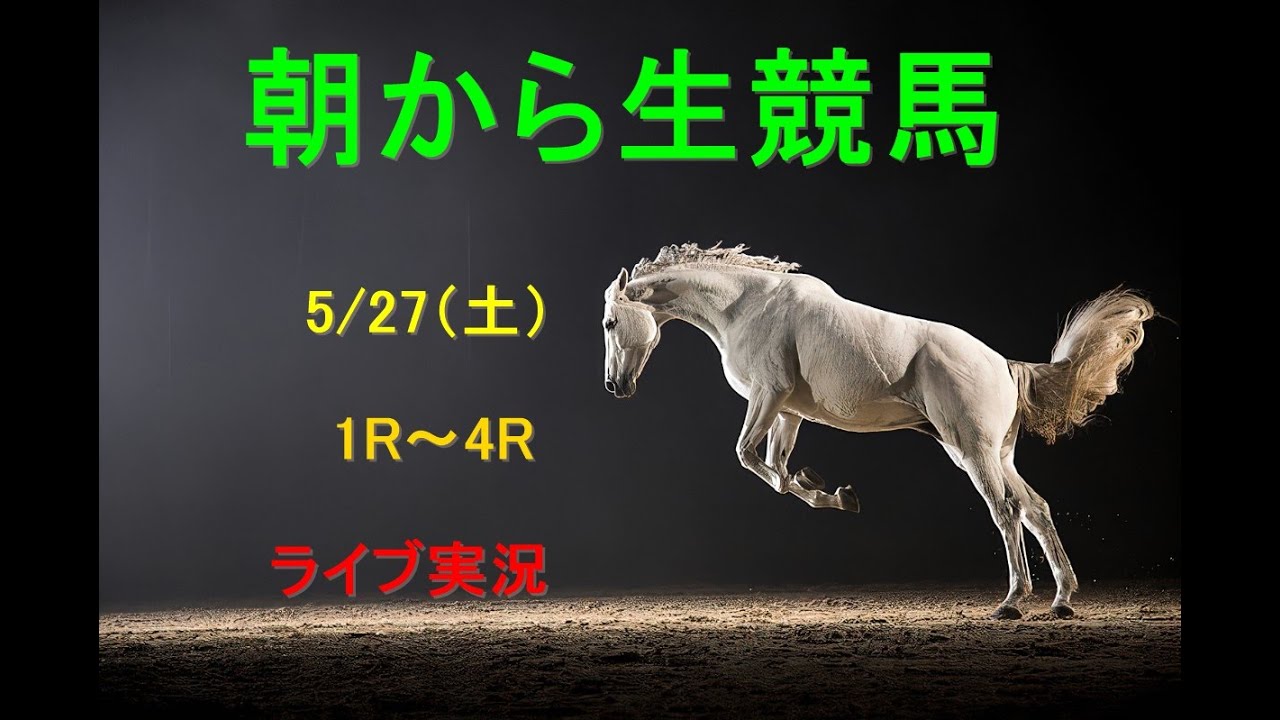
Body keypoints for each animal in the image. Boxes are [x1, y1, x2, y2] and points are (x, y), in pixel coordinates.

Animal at [601, 243, 1155, 620]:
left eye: (609, 323)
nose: (614, 386)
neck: (749, 306)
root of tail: (1004, 364)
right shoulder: (788, 412)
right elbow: (776, 470)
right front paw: (833, 492)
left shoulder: (768, 396)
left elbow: (748, 457)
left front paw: (827, 489)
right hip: (990, 454)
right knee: (1036, 508)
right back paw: (1062, 599)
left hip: (974, 452)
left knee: (1006, 510)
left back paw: (1013, 602)